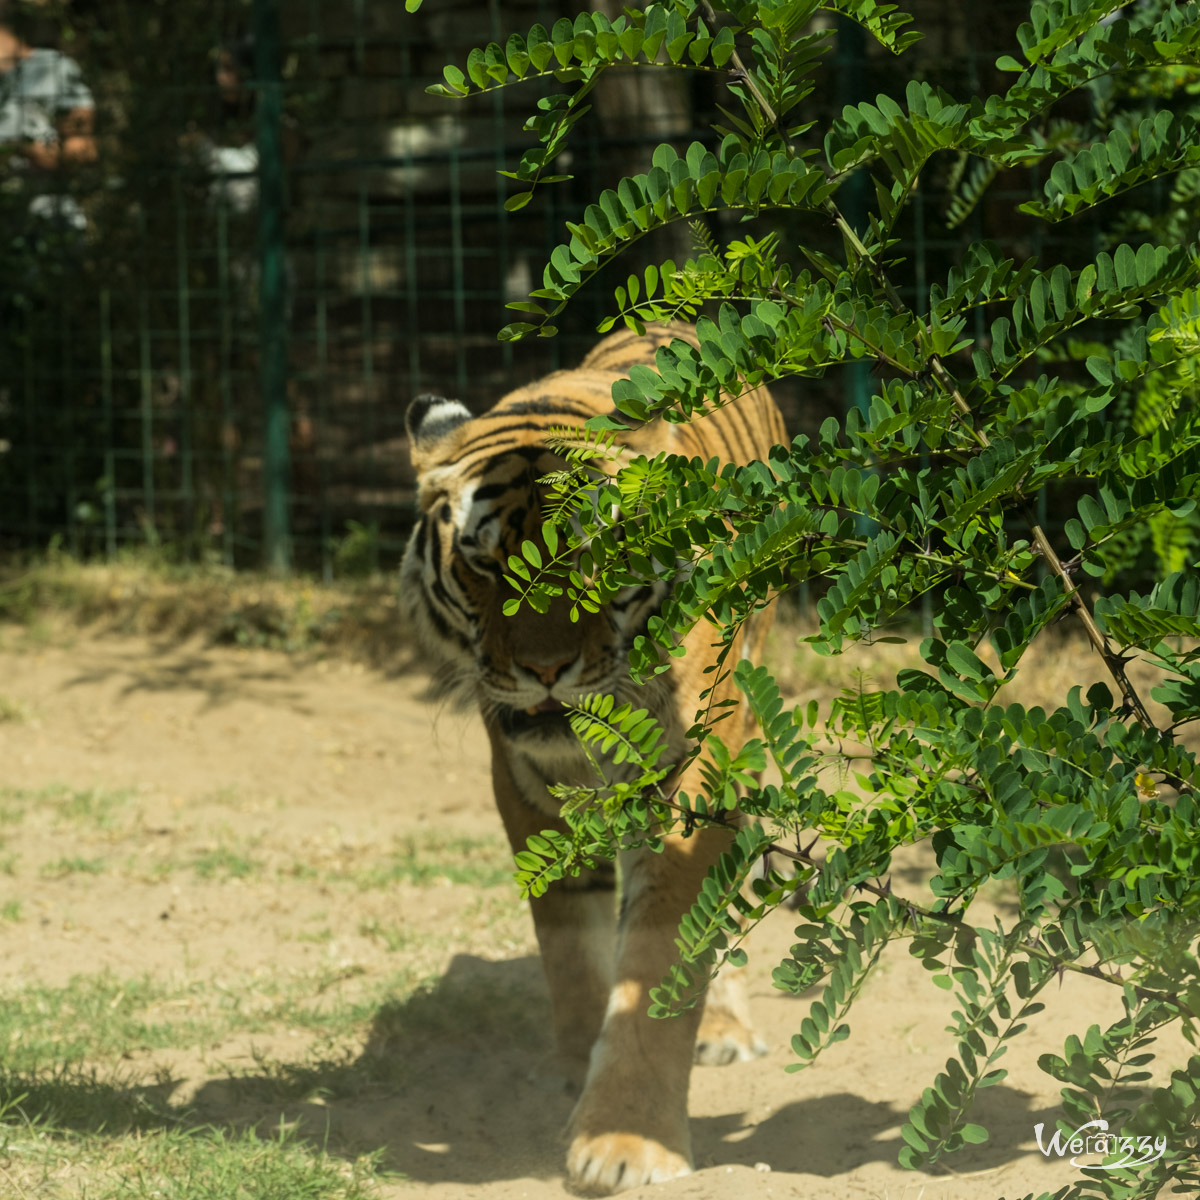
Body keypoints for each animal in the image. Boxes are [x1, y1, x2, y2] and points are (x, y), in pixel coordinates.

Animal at [400, 324, 787, 1195]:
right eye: (483, 564)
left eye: (598, 559)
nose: (545, 670)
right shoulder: (523, 782)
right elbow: (570, 943)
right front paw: (580, 1074)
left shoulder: (688, 777)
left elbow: (658, 956)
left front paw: (625, 1140)